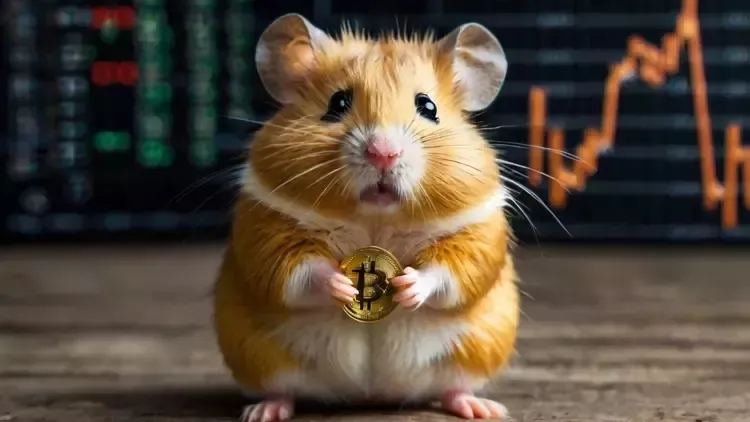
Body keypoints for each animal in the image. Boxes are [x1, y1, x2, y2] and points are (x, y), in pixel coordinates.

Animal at [213, 13, 519, 422]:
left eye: (428, 107)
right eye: (337, 102)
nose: (384, 153)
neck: (377, 218)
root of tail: (370, 396)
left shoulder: (479, 229)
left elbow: (451, 271)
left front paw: (407, 286)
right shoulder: (264, 225)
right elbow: (297, 269)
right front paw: (343, 284)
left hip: (476, 350)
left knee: (453, 387)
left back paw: (481, 408)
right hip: (260, 355)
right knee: (281, 389)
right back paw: (264, 411)